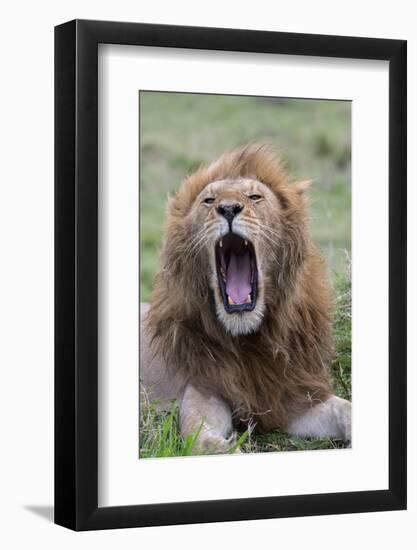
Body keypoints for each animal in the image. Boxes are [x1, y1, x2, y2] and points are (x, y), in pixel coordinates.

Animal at [141, 144, 352, 454]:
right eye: (209, 200)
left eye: (255, 197)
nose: (228, 208)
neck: (250, 340)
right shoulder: (203, 391)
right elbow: (207, 442)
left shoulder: (289, 396)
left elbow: (346, 408)